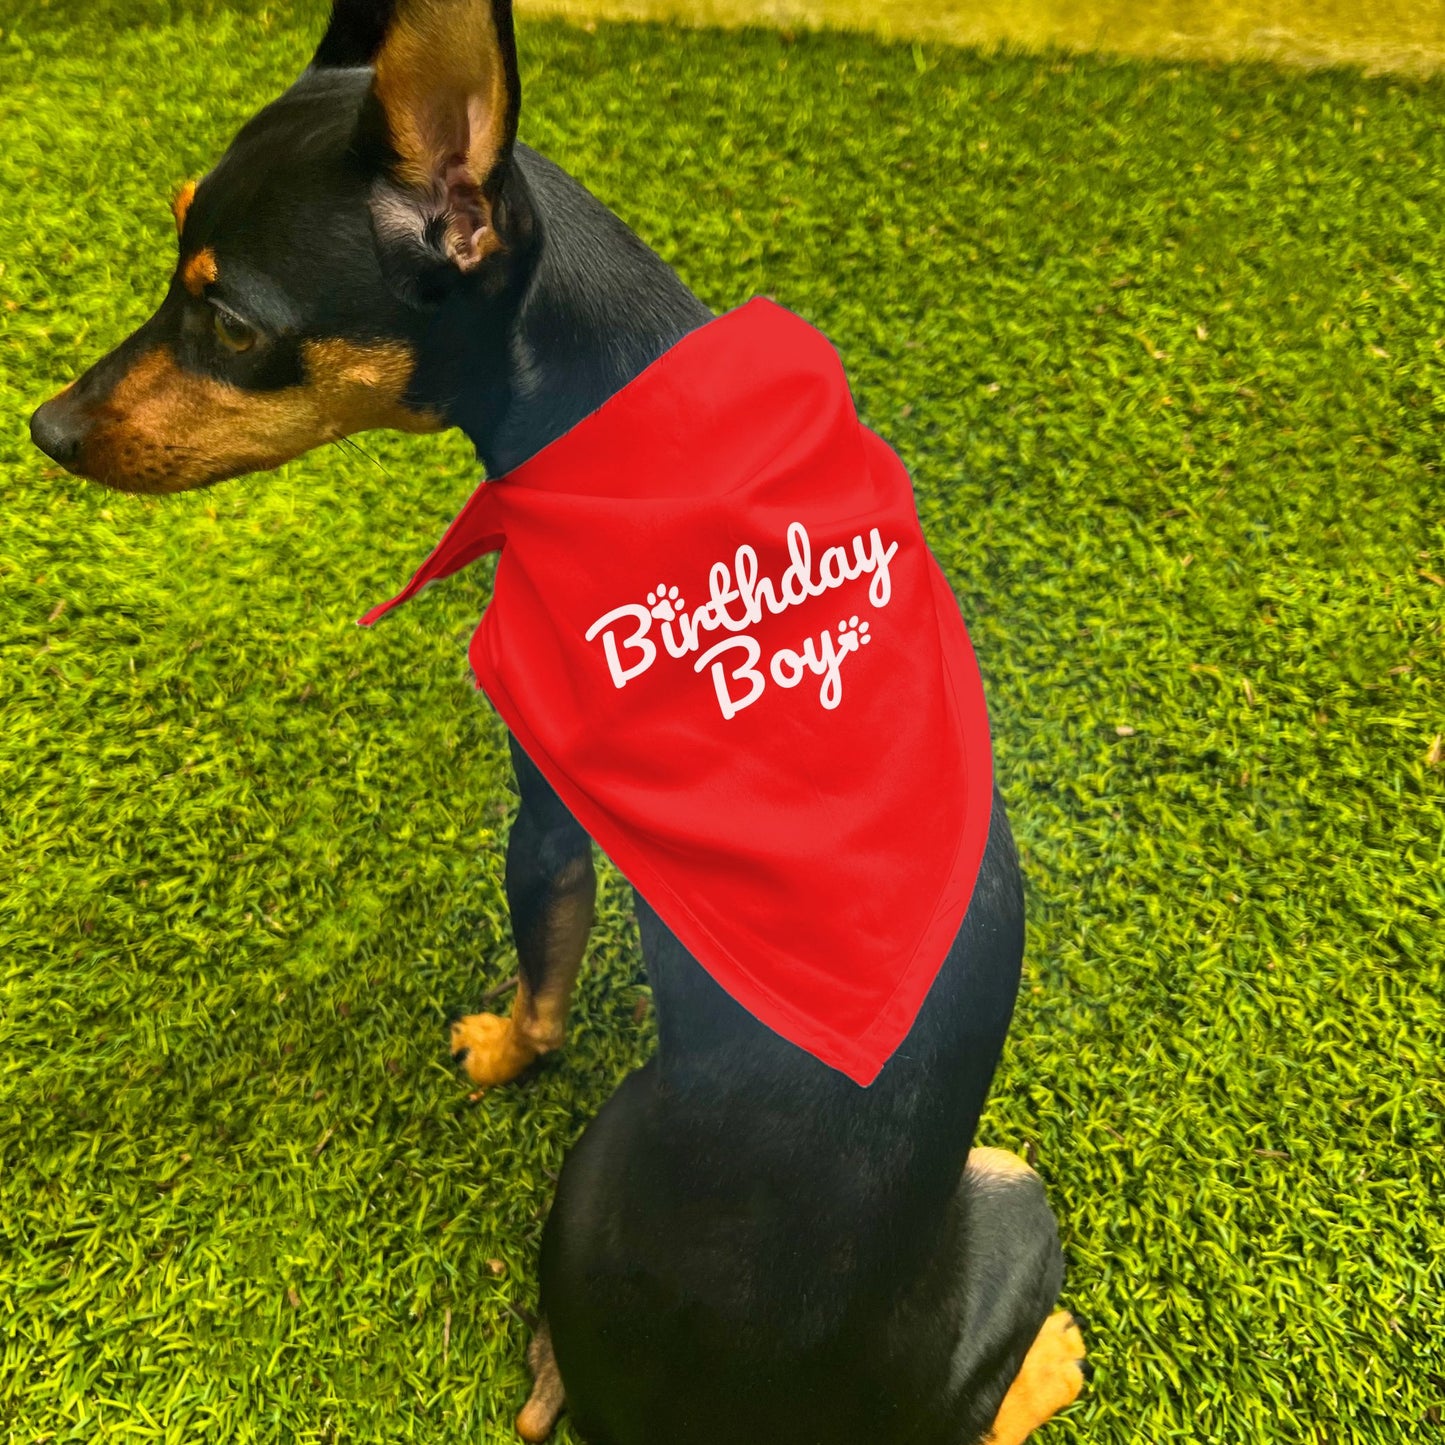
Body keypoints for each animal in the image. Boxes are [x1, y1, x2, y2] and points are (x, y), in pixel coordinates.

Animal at [28, 5, 1086, 1439]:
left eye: (235, 321)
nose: (46, 427)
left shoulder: (544, 806)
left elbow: (542, 961)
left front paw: (502, 1049)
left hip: (991, 1191)